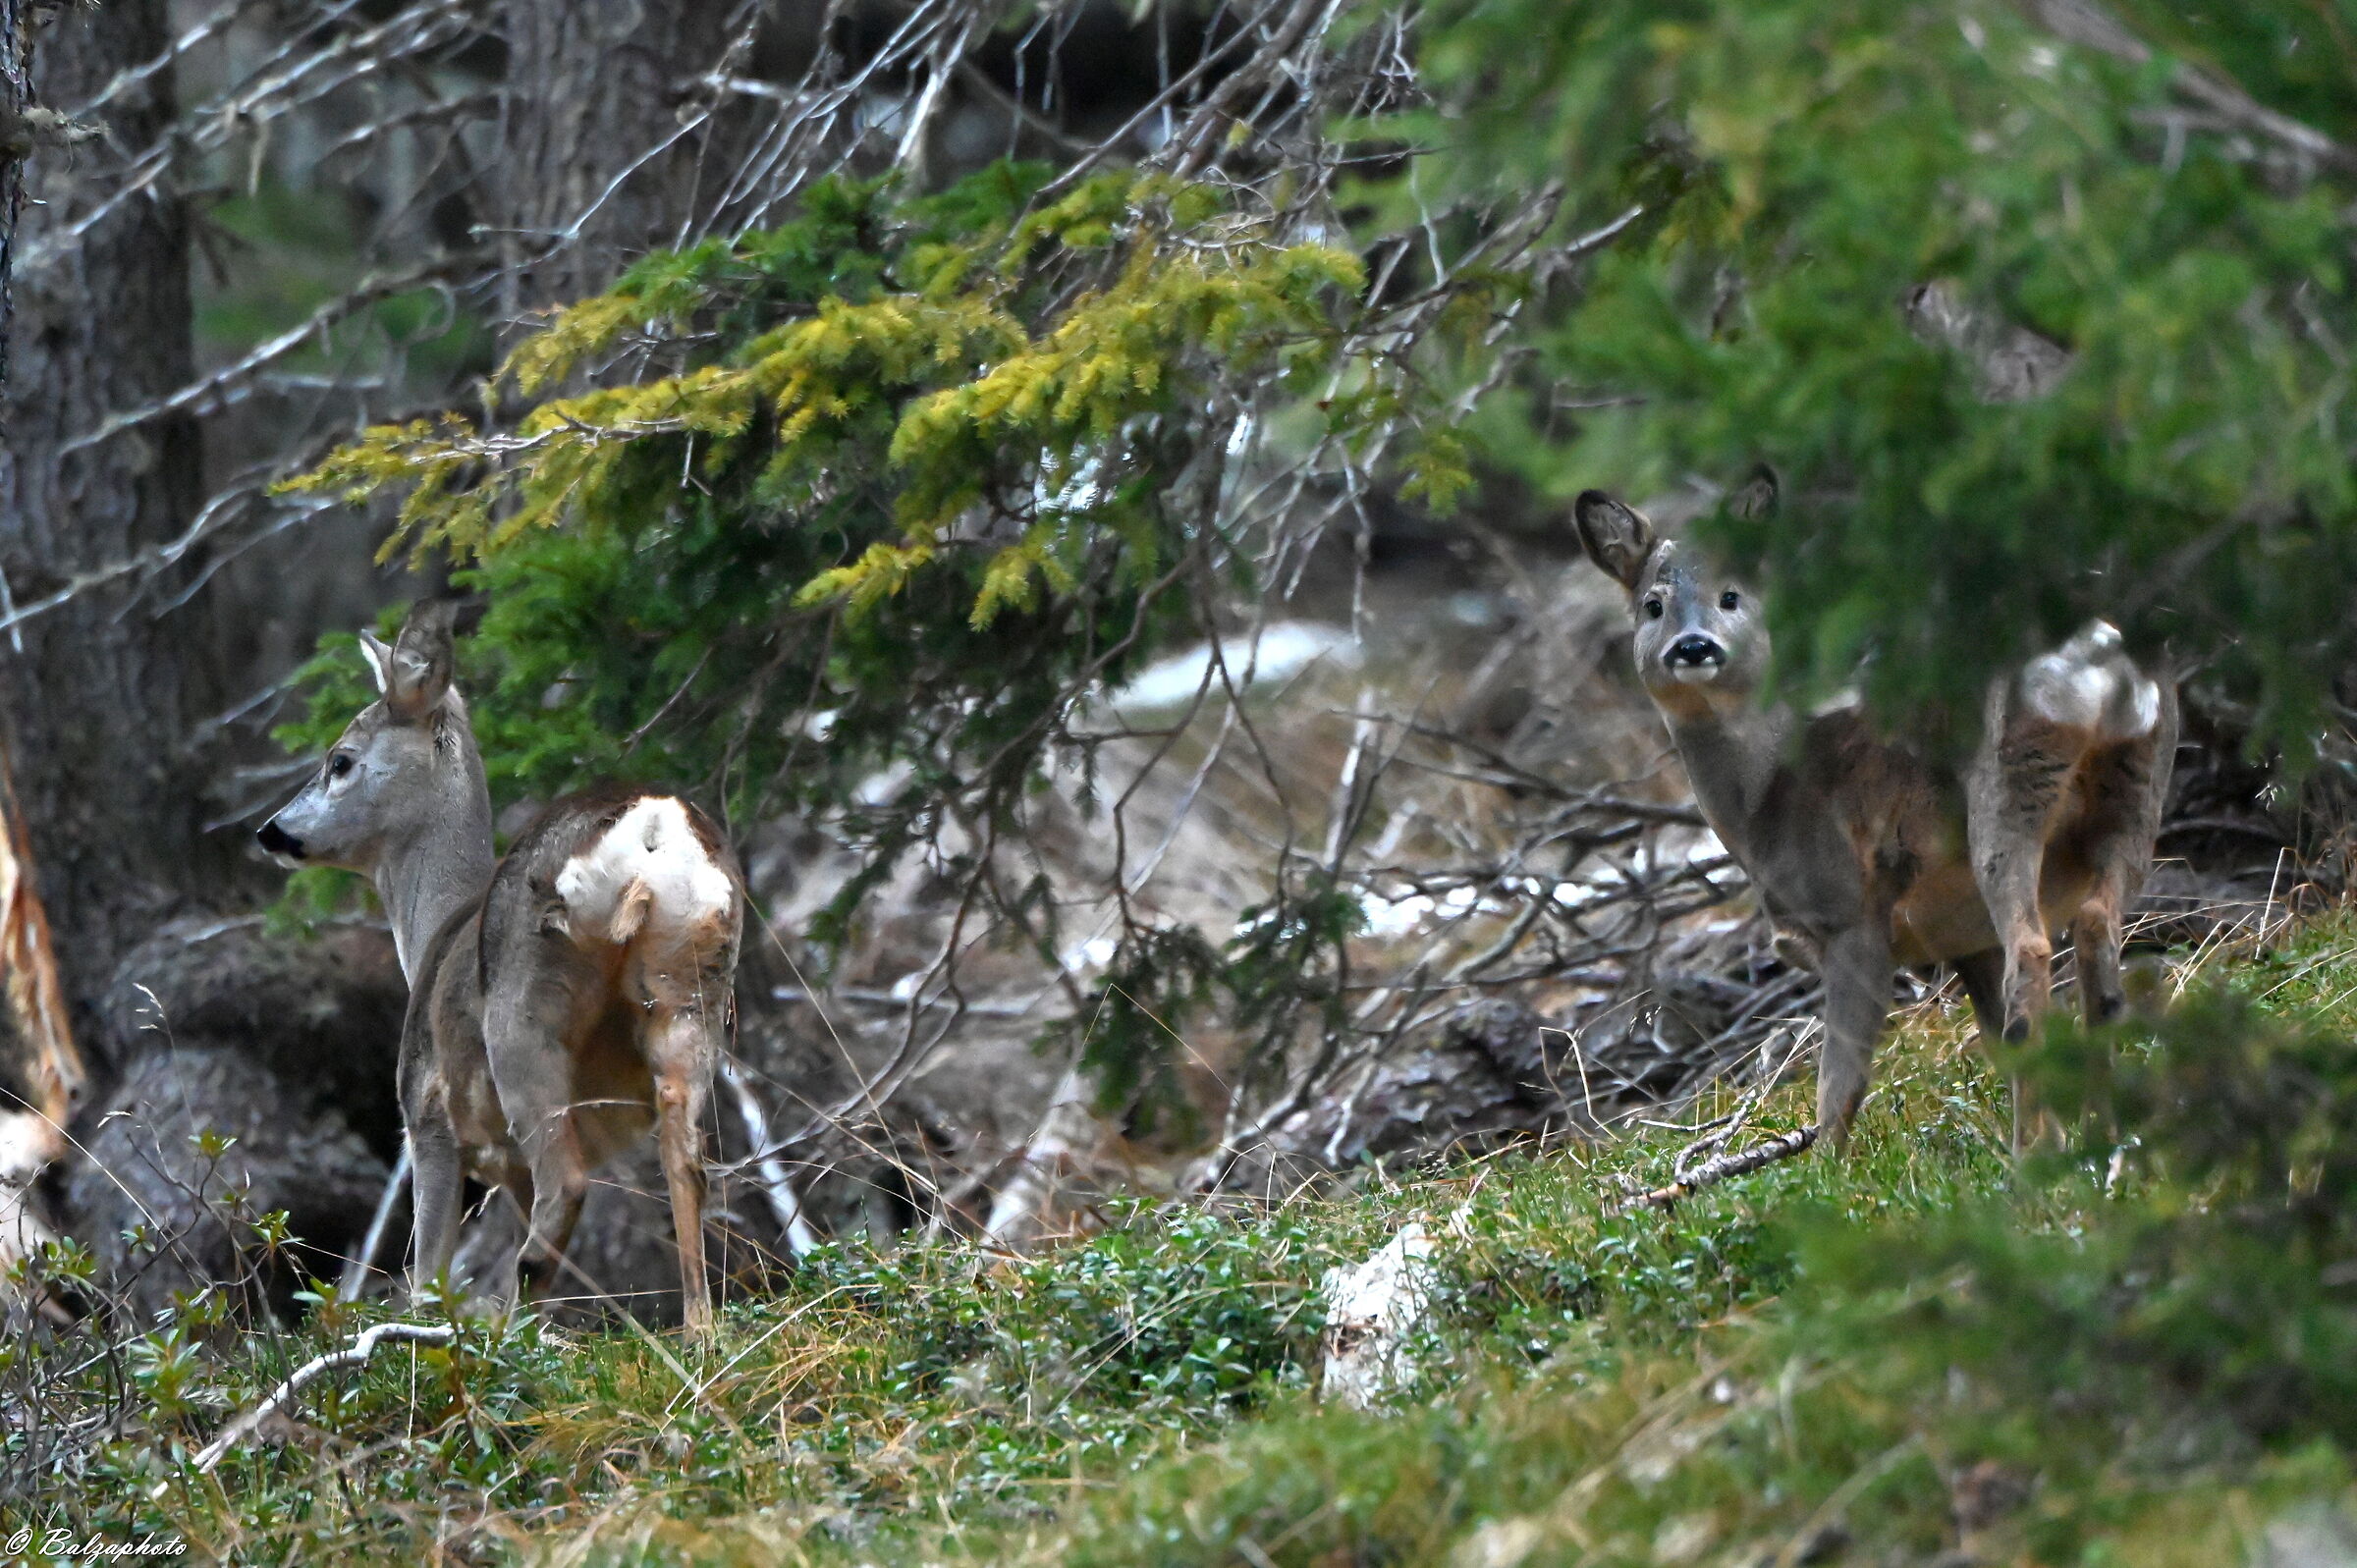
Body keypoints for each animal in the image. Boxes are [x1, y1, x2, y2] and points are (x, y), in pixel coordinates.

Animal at [258, 601, 744, 1336]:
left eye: (339, 760)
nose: (271, 830)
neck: (433, 930)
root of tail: (651, 830)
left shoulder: (429, 1115)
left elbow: (426, 1271)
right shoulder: (502, 1165)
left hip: (524, 1016)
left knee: (566, 1183)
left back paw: (517, 1328)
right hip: (691, 992)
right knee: (688, 1167)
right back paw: (699, 1333)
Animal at [1573, 471, 2176, 1152]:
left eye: (1731, 596)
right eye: (1653, 605)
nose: (1693, 646)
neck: (1767, 796)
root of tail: (2095, 665)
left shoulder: (1851, 914)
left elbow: (1839, 1085)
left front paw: (1825, 1171)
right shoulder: (1960, 939)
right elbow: (1994, 1040)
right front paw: (2057, 1138)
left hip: (2008, 796)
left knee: (2033, 949)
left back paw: (2033, 1153)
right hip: (2138, 787)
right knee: (2098, 927)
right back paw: (2109, 1135)